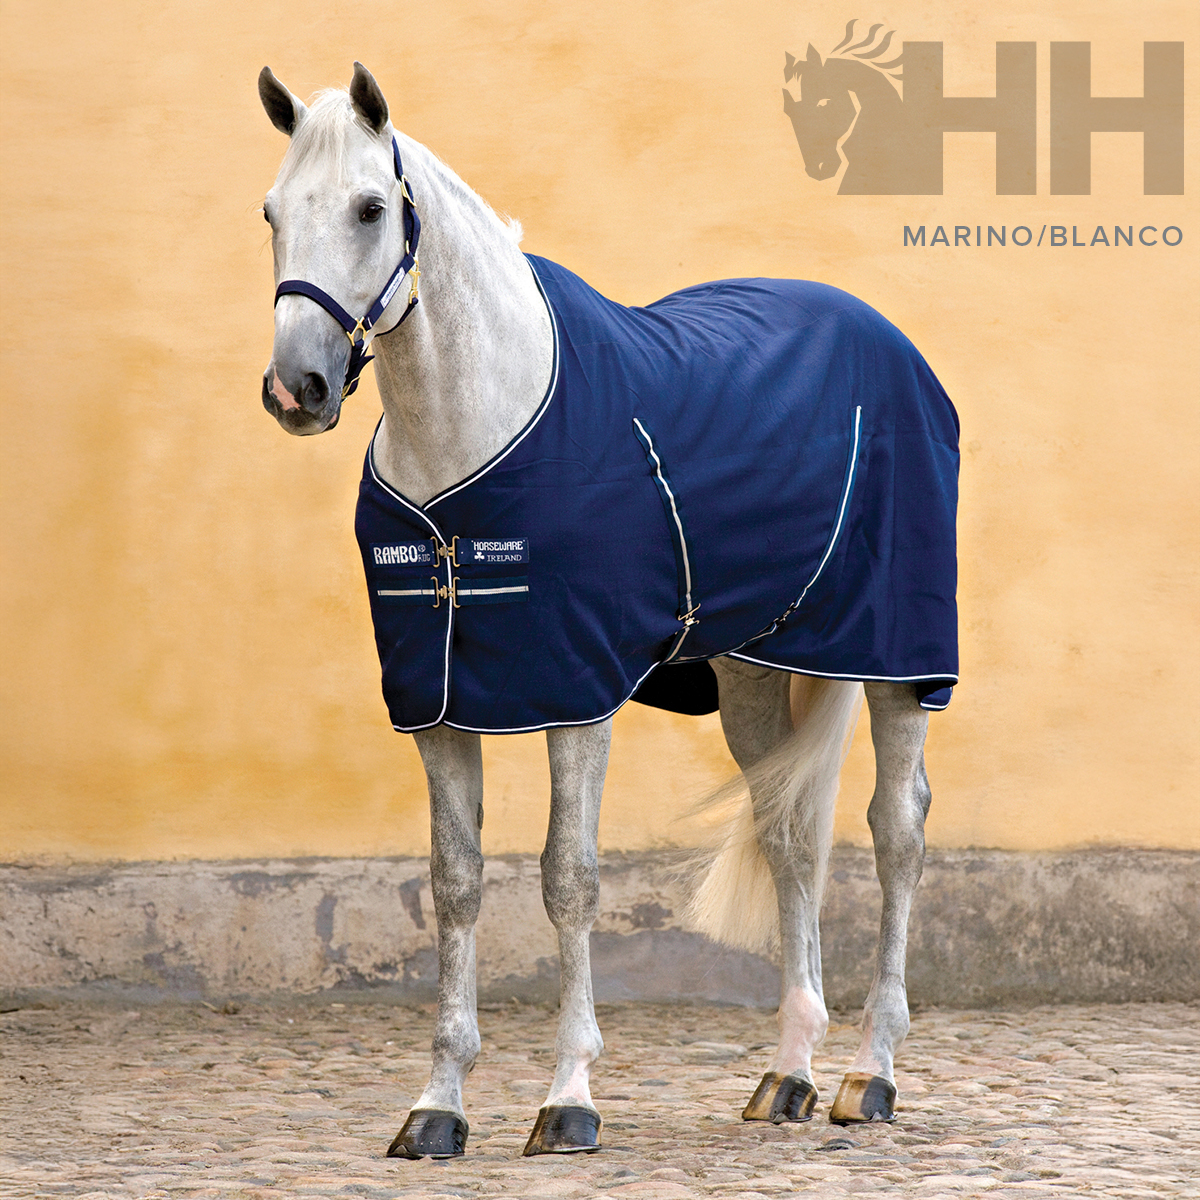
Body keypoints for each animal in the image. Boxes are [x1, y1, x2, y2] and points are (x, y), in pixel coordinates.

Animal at [257, 62, 959, 1160]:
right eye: (272, 213)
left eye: (371, 208)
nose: (298, 388)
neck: (472, 437)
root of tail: (882, 334)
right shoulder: (437, 703)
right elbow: (454, 883)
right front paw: (438, 1106)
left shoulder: (576, 690)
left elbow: (569, 878)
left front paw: (569, 1096)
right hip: (754, 671)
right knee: (790, 833)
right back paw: (787, 1073)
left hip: (895, 657)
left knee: (897, 831)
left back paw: (870, 1074)